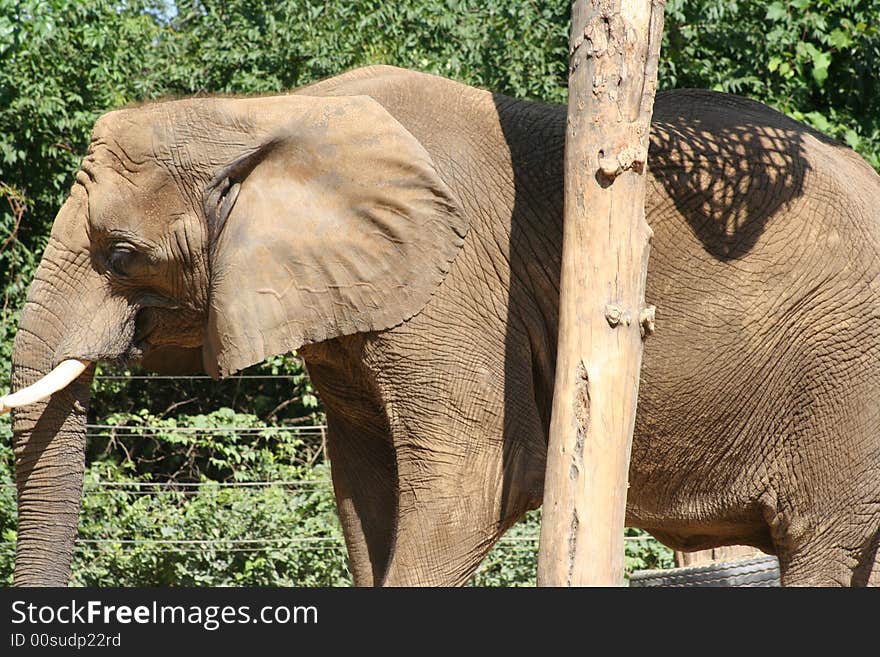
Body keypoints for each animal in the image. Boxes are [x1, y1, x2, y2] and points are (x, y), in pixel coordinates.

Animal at [3, 66, 876, 588]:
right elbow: (365, 486)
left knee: (821, 544)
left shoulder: (458, 290)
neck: (273, 112)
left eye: (121, 254)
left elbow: (477, 476)